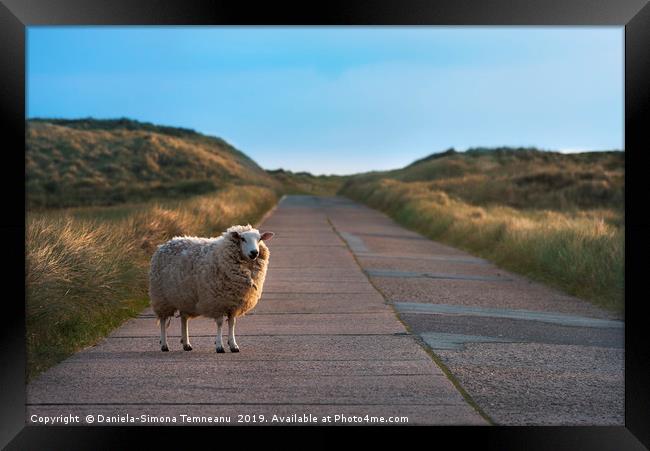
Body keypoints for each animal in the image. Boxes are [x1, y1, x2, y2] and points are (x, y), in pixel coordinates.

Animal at [148, 224, 272, 354]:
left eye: (259, 239)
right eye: (242, 239)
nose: (254, 252)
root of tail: (165, 244)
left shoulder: (233, 303)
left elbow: (232, 323)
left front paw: (233, 345)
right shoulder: (218, 301)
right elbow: (220, 323)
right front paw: (219, 346)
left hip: (184, 297)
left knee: (184, 319)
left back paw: (186, 344)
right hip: (161, 297)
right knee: (163, 320)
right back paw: (164, 345)